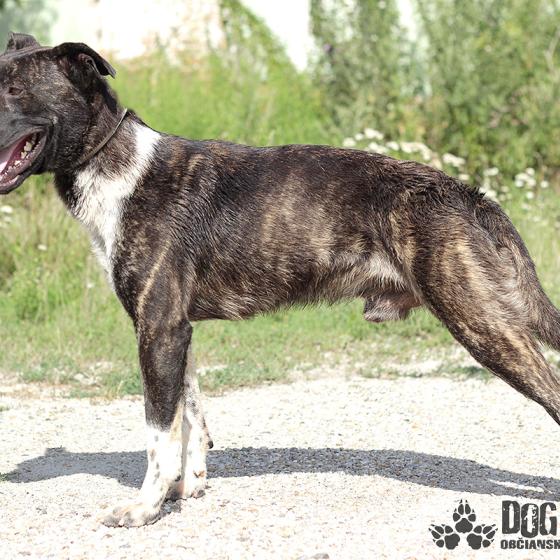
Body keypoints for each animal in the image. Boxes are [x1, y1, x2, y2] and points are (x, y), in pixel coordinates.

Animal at [1, 32, 560, 527]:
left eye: (12, 89)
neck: (114, 166)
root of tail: (468, 194)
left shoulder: (157, 330)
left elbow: (159, 433)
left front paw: (144, 508)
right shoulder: (175, 331)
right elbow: (191, 414)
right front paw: (188, 486)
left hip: (485, 328)